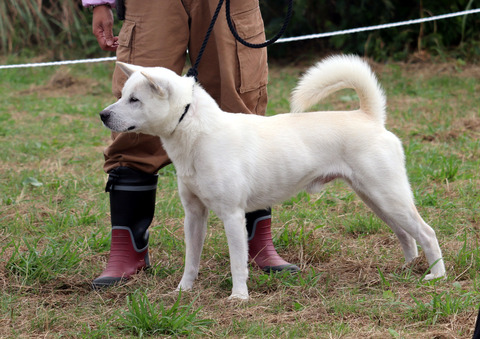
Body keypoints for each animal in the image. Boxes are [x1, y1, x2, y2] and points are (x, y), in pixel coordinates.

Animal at [100, 55, 446, 300]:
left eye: (135, 100)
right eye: (123, 94)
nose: (103, 115)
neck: (196, 132)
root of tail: (369, 116)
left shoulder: (232, 215)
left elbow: (237, 262)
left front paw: (239, 297)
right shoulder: (194, 215)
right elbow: (191, 260)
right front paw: (183, 291)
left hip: (389, 196)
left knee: (426, 233)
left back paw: (436, 276)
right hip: (376, 199)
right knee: (405, 235)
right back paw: (407, 268)